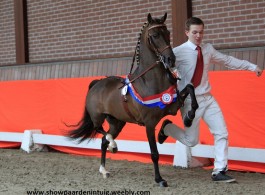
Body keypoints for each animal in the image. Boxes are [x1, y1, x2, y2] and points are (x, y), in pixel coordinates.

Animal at [67, 12, 197, 187]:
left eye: (168, 33)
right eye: (155, 35)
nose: (171, 59)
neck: (150, 80)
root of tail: (97, 83)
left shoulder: (172, 106)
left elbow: (190, 88)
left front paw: (189, 117)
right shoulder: (149, 123)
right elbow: (154, 153)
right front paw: (159, 179)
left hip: (117, 122)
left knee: (103, 140)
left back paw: (104, 170)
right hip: (98, 117)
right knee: (100, 131)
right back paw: (113, 146)